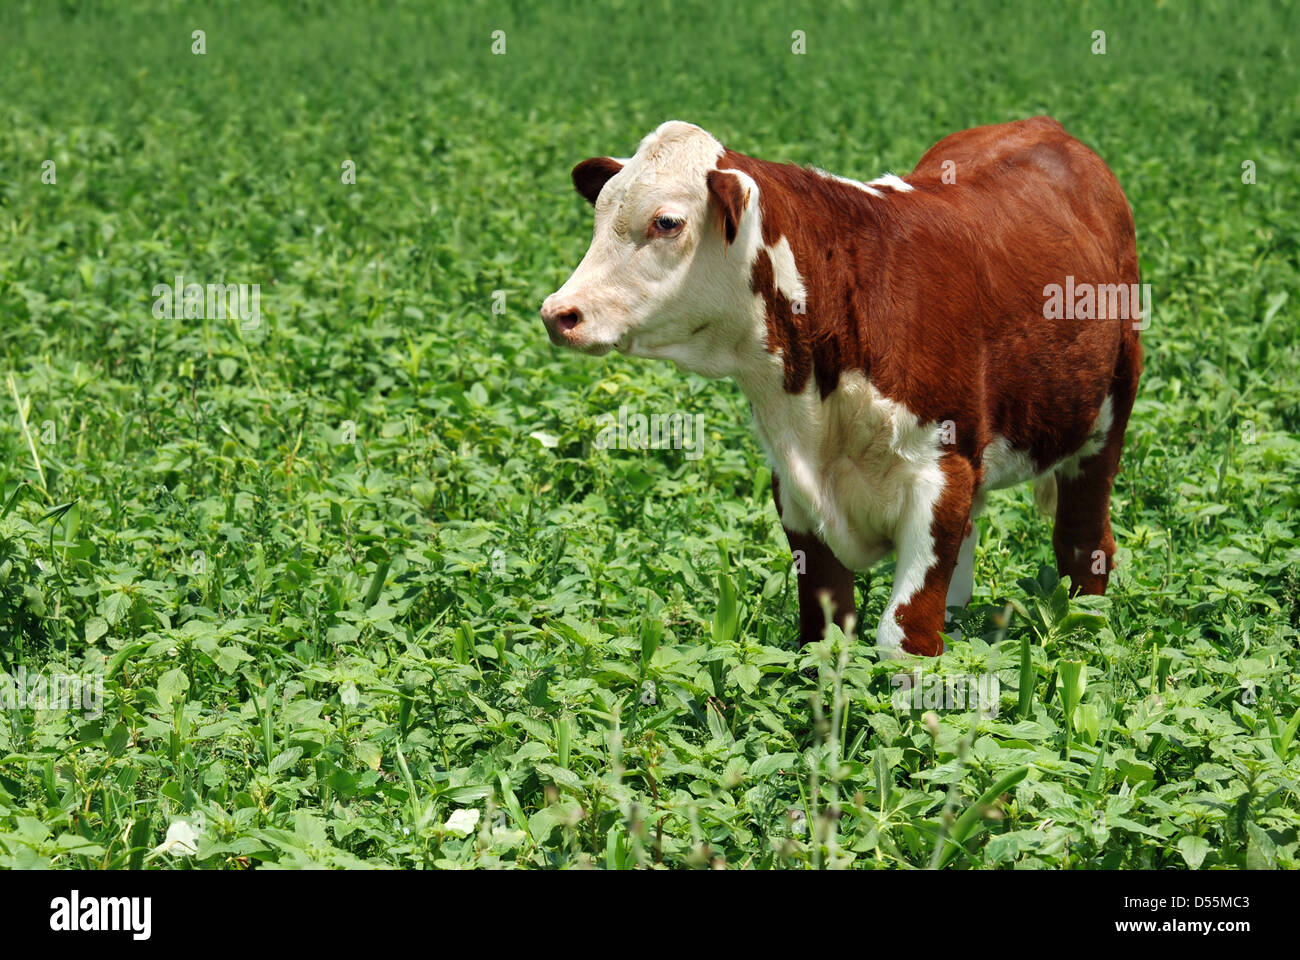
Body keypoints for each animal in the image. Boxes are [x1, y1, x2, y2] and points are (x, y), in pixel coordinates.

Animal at [541, 118, 1142, 658]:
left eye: (667, 222)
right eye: (600, 215)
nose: (558, 313)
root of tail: (1045, 127)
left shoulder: (942, 471)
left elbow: (904, 637)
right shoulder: (794, 487)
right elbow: (823, 634)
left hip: (1108, 411)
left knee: (1084, 541)